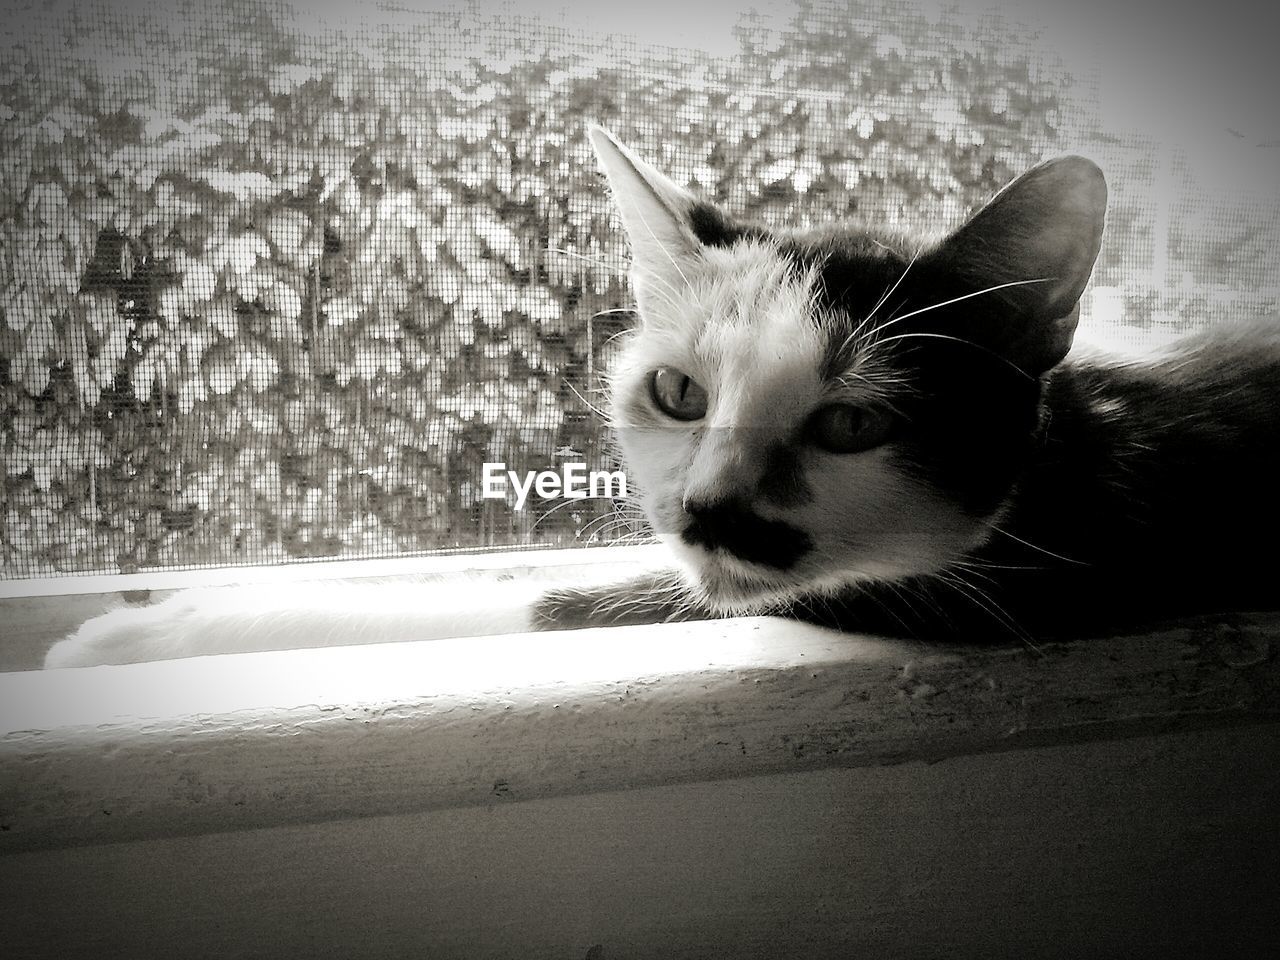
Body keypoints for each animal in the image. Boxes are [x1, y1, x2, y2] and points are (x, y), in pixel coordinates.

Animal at [42, 128, 1280, 670]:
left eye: (852, 423)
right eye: (678, 392)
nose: (708, 510)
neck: (1074, 452)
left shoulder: (1016, 582)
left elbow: (570, 601)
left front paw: (144, 634)